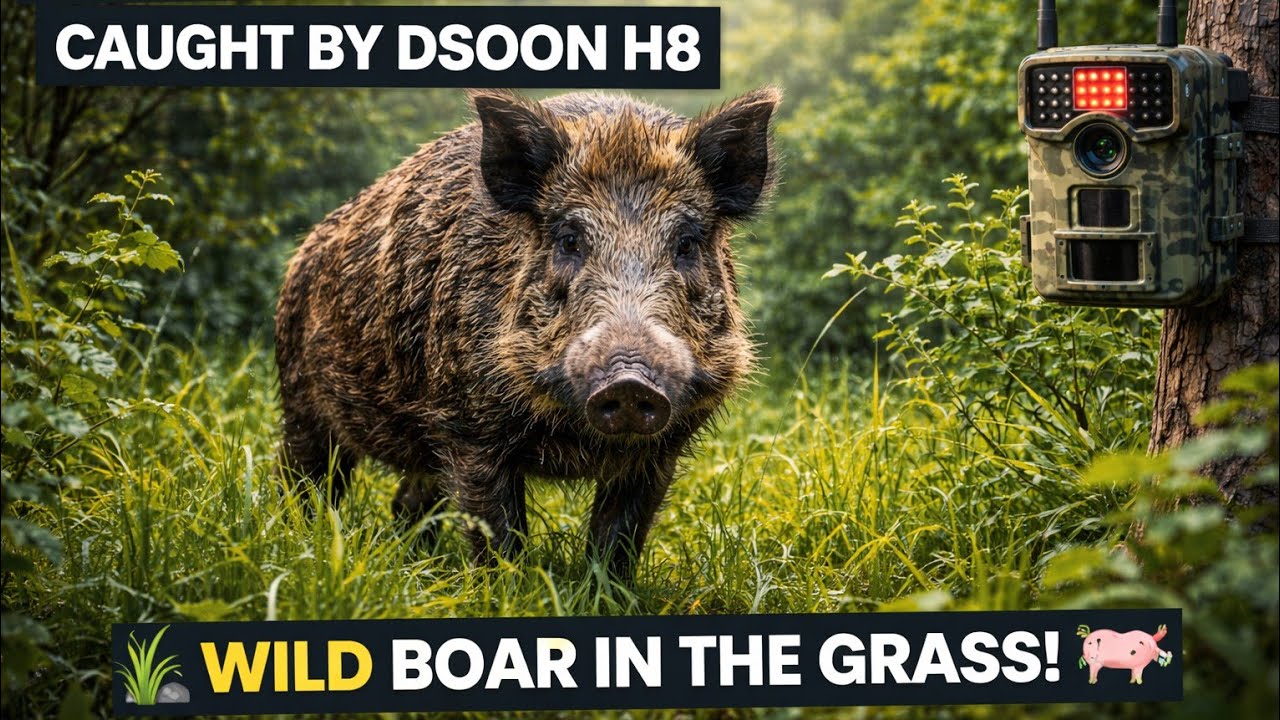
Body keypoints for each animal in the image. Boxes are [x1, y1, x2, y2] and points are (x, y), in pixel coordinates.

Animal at [274, 88, 780, 579]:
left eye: (686, 243)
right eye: (569, 240)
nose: (630, 380)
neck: (573, 437)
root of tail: (303, 252)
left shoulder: (660, 451)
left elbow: (618, 541)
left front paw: (608, 594)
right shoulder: (468, 430)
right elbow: (499, 536)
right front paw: (503, 590)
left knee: (408, 501)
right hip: (300, 400)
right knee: (304, 478)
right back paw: (300, 540)